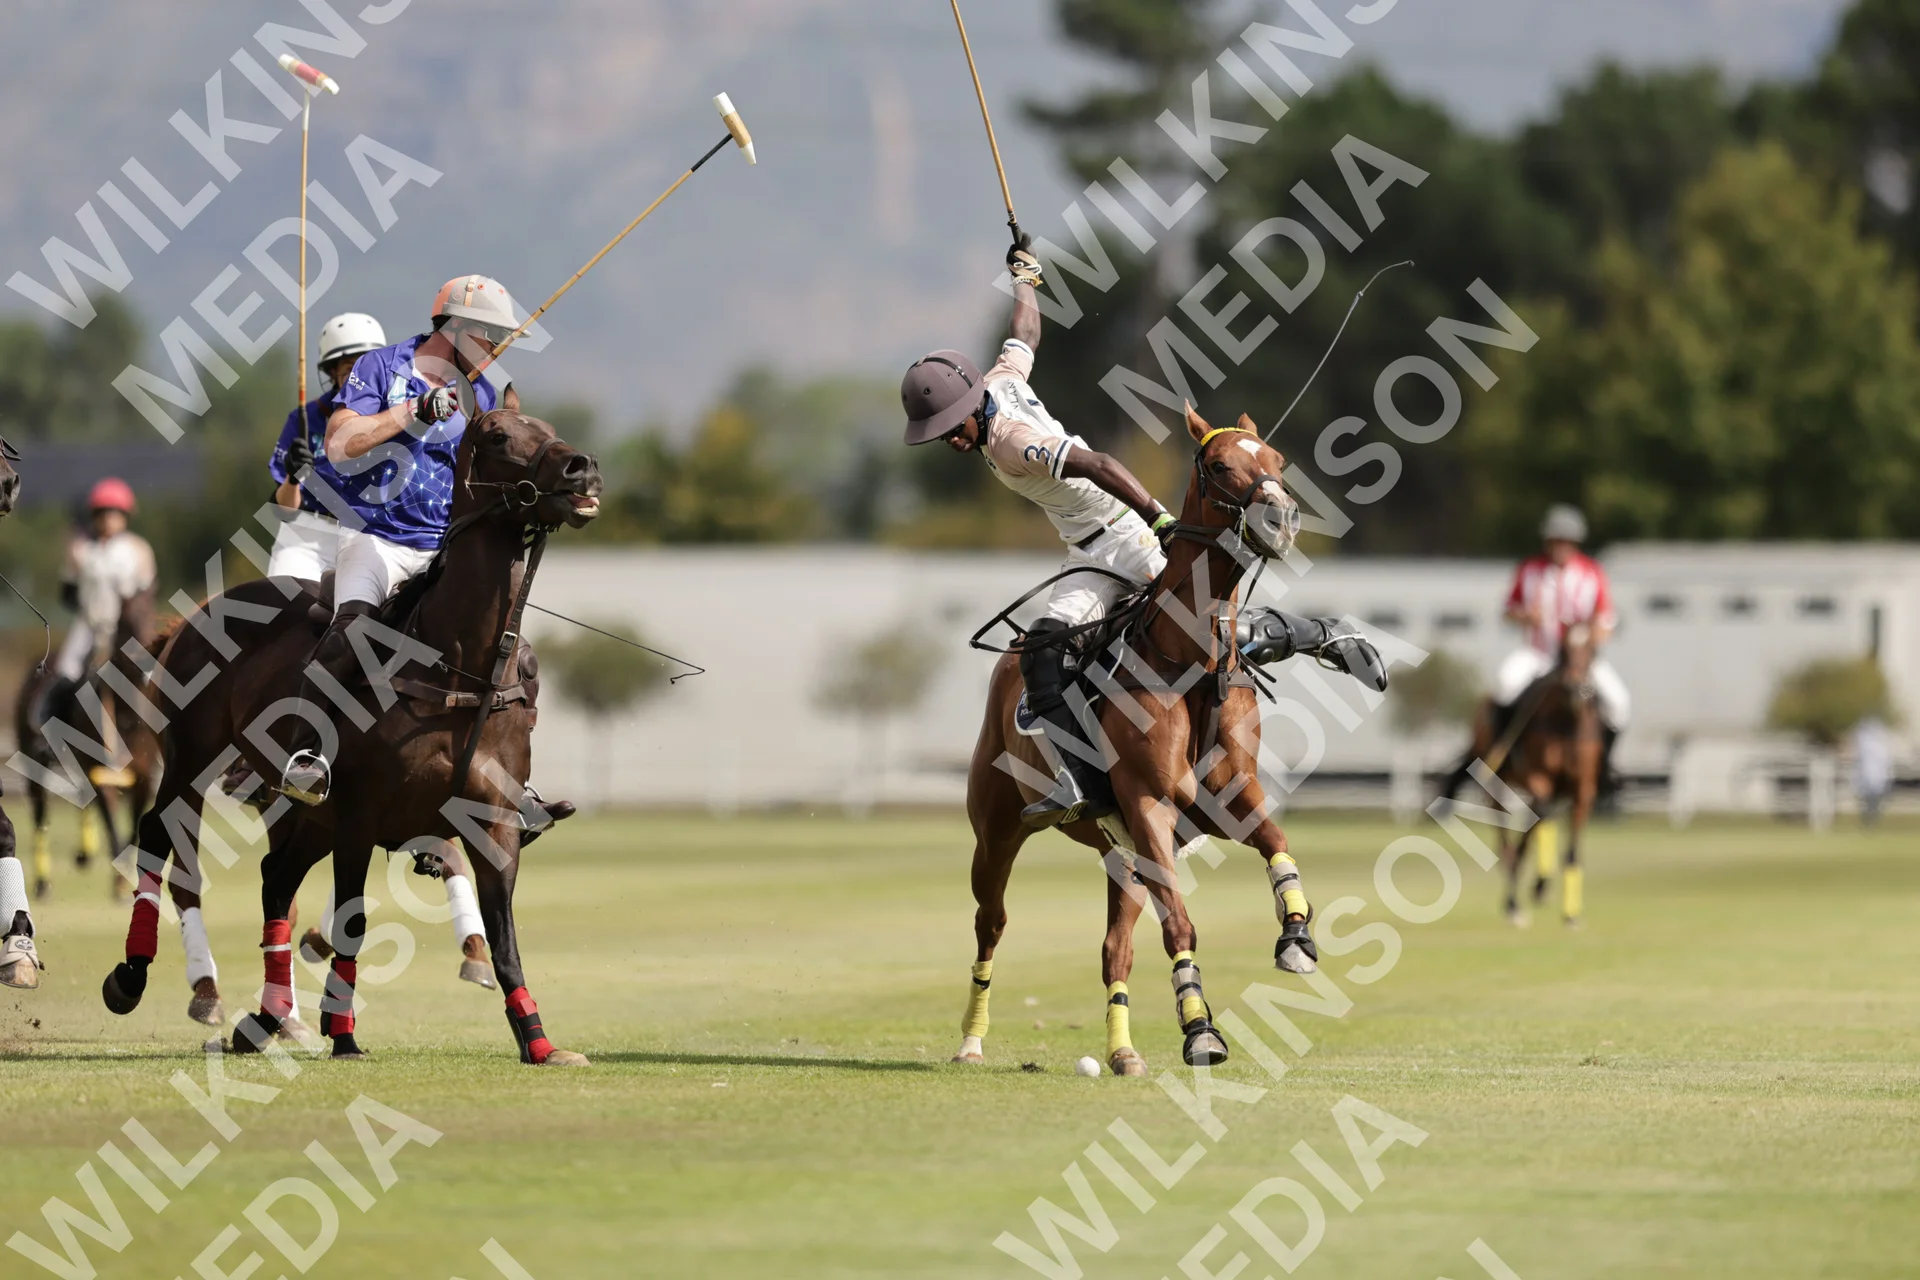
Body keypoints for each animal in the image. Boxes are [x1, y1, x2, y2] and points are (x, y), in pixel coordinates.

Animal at [100, 409, 602, 1064]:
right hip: (194, 760)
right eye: (497, 435)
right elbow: (353, 922)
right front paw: (343, 1033)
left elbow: (503, 933)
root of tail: (190, 618)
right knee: (162, 837)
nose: (582, 468)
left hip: (308, 812)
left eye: (546, 425)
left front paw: (539, 1040)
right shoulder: (362, 815)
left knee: (275, 877)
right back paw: (134, 977)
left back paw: (266, 1018)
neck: (459, 666)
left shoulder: (490, 823)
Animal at [956, 404, 1318, 1077]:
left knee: (1113, 949)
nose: (1281, 518)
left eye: (1278, 460)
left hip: (1118, 856)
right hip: (996, 833)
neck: (1192, 659)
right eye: (1220, 465)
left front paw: (1298, 937)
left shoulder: (1232, 795)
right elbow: (1180, 926)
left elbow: (1278, 843)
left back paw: (1121, 1052)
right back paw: (970, 1040)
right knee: (990, 923)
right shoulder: (1151, 803)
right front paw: (1201, 1032)